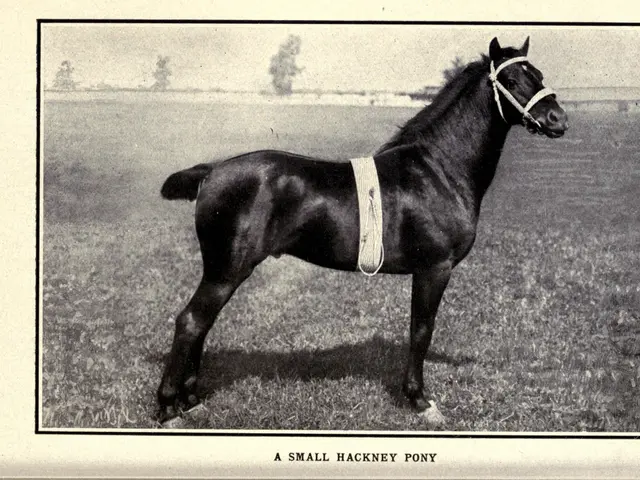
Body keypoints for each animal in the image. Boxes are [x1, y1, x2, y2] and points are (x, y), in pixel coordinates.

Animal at [156, 37, 568, 425]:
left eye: (539, 75)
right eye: (512, 80)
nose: (558, 119)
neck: (438, 170)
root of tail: (211, 171)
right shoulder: (435, 268)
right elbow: (422, 329)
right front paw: (420, 401)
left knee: (202, 324)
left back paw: (191, 402)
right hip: (227, 270)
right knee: (191, 322)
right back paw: (168, 408)